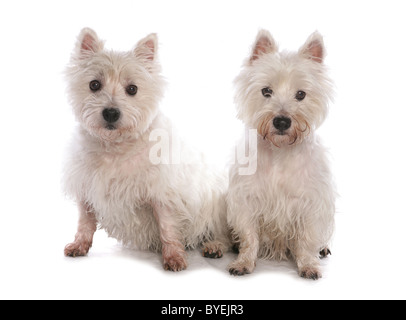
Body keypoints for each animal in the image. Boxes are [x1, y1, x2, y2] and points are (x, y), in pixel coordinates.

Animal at [62, 28, 228, 272]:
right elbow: (85, 221)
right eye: (94, 84)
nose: (111, 112)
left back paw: (215, 245)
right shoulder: (86, 188)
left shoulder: (162, 192)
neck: (115, 147)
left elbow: (167, 228)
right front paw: (79, 245)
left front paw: (173, 257)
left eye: (132, 89)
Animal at [228, 30, 336, 280]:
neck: (280, 151)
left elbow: (306, 240)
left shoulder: (311, 202)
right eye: (266, 91)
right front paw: (244, 262)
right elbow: (249, 237)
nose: (282, 121)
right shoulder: (247, 200)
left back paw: (322, 248)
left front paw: (308, 265)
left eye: (301, 94)